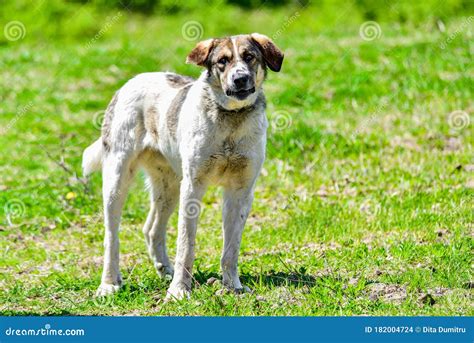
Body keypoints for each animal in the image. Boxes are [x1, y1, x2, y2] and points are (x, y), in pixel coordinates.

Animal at [82, 33, 284, 300]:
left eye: (249, 57)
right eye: (222, 61)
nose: (239, 79)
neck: (231, 118)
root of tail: (129, 82)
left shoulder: (240, 191)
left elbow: (231, 248)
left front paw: (233, 287)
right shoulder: (193, 187)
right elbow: (186, 245)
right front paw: (179, 291)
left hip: (170, 187)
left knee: (151, 229)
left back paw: (164, 269)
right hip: (117, 181)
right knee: (111, 237)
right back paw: (109, 284)